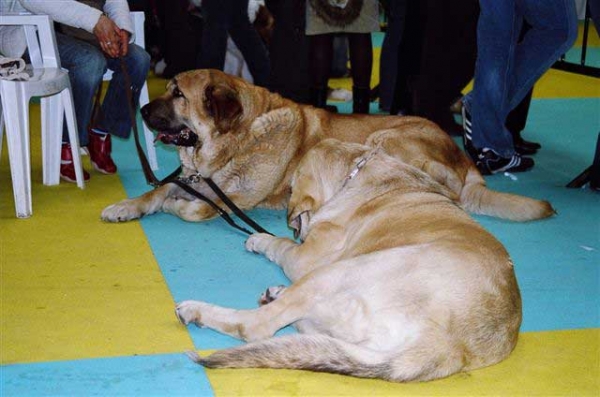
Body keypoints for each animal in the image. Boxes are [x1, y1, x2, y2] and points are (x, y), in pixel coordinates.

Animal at [102, 68, 552, 223]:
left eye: (178, 94)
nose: (141, 108)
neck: (238, 139)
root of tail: (463, 156)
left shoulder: (228, 198)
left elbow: (194, 208)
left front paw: (173, 208)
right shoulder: (191, 177)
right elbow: (158, 189)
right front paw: (125, 206)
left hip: (384, 138)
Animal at [176, 139, 524, 380]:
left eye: (292, 188)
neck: (357, 171)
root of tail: (449, 346)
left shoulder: (306, 257)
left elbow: (282, 245)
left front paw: (261, 239)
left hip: (339, 271)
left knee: (258, 325)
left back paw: (197, 310)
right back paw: (276, 294)